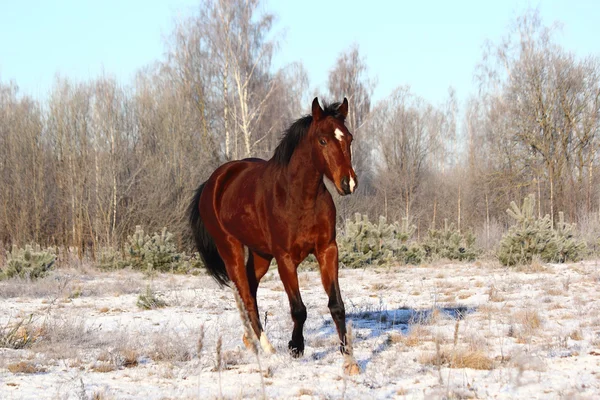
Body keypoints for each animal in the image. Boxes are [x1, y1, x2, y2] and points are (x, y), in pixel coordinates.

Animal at [189, 97, 356, 372]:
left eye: (349, 138)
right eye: (322, 140)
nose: (348, 183)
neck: (299, 197)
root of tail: (212, 183)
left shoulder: (327, 250)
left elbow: (337, 305)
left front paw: (350, 359)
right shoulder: (285, 258)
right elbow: (298, 309)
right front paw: (295, 347)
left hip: (260, 256)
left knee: (250, 289)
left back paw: (250, 339)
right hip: (230, 248)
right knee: (245, 296)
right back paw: (266, 348)